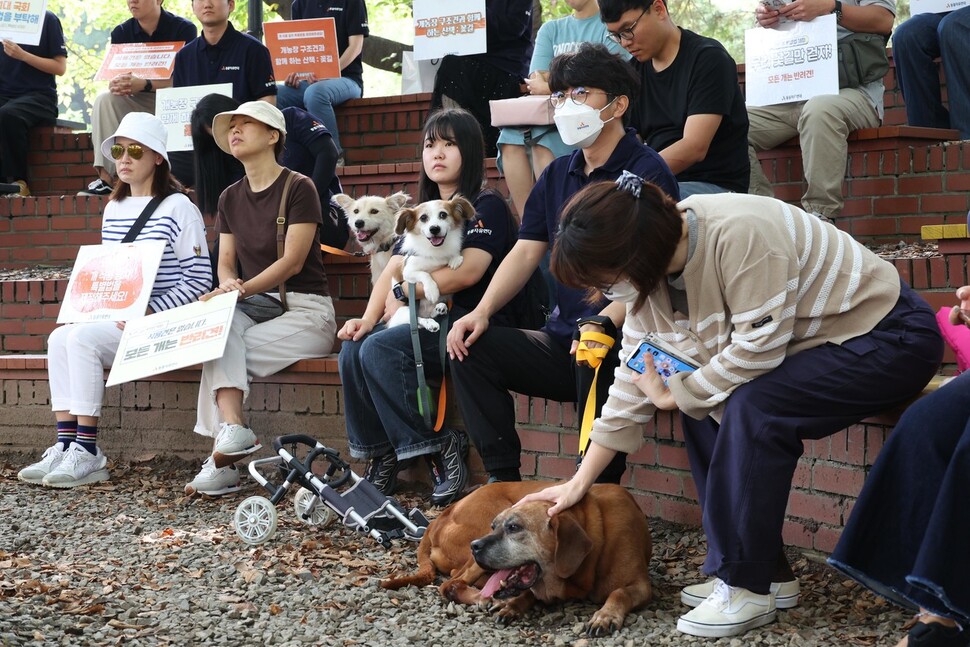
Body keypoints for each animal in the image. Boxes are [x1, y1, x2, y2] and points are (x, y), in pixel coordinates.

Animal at [378, 480, 652, 636]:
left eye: (513, 528)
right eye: (495, 526)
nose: (474, 546)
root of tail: (439, 517)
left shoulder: (641, 585)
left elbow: (619, 592)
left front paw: (605, 615)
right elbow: (527, 593)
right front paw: (512, 604)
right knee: (451, 583)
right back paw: (483, 598)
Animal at [386, 195, 476, 332]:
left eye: (443, 215)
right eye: (423, 218)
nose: (434, 229)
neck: (434, 250)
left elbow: (453, 254)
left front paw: (455, 259)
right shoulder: (408, 272)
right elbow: (425, 274)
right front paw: (432, 290)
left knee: (430, 314)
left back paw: (440, 308)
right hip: (404, 311)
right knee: (418, 320)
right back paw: (430, 324)